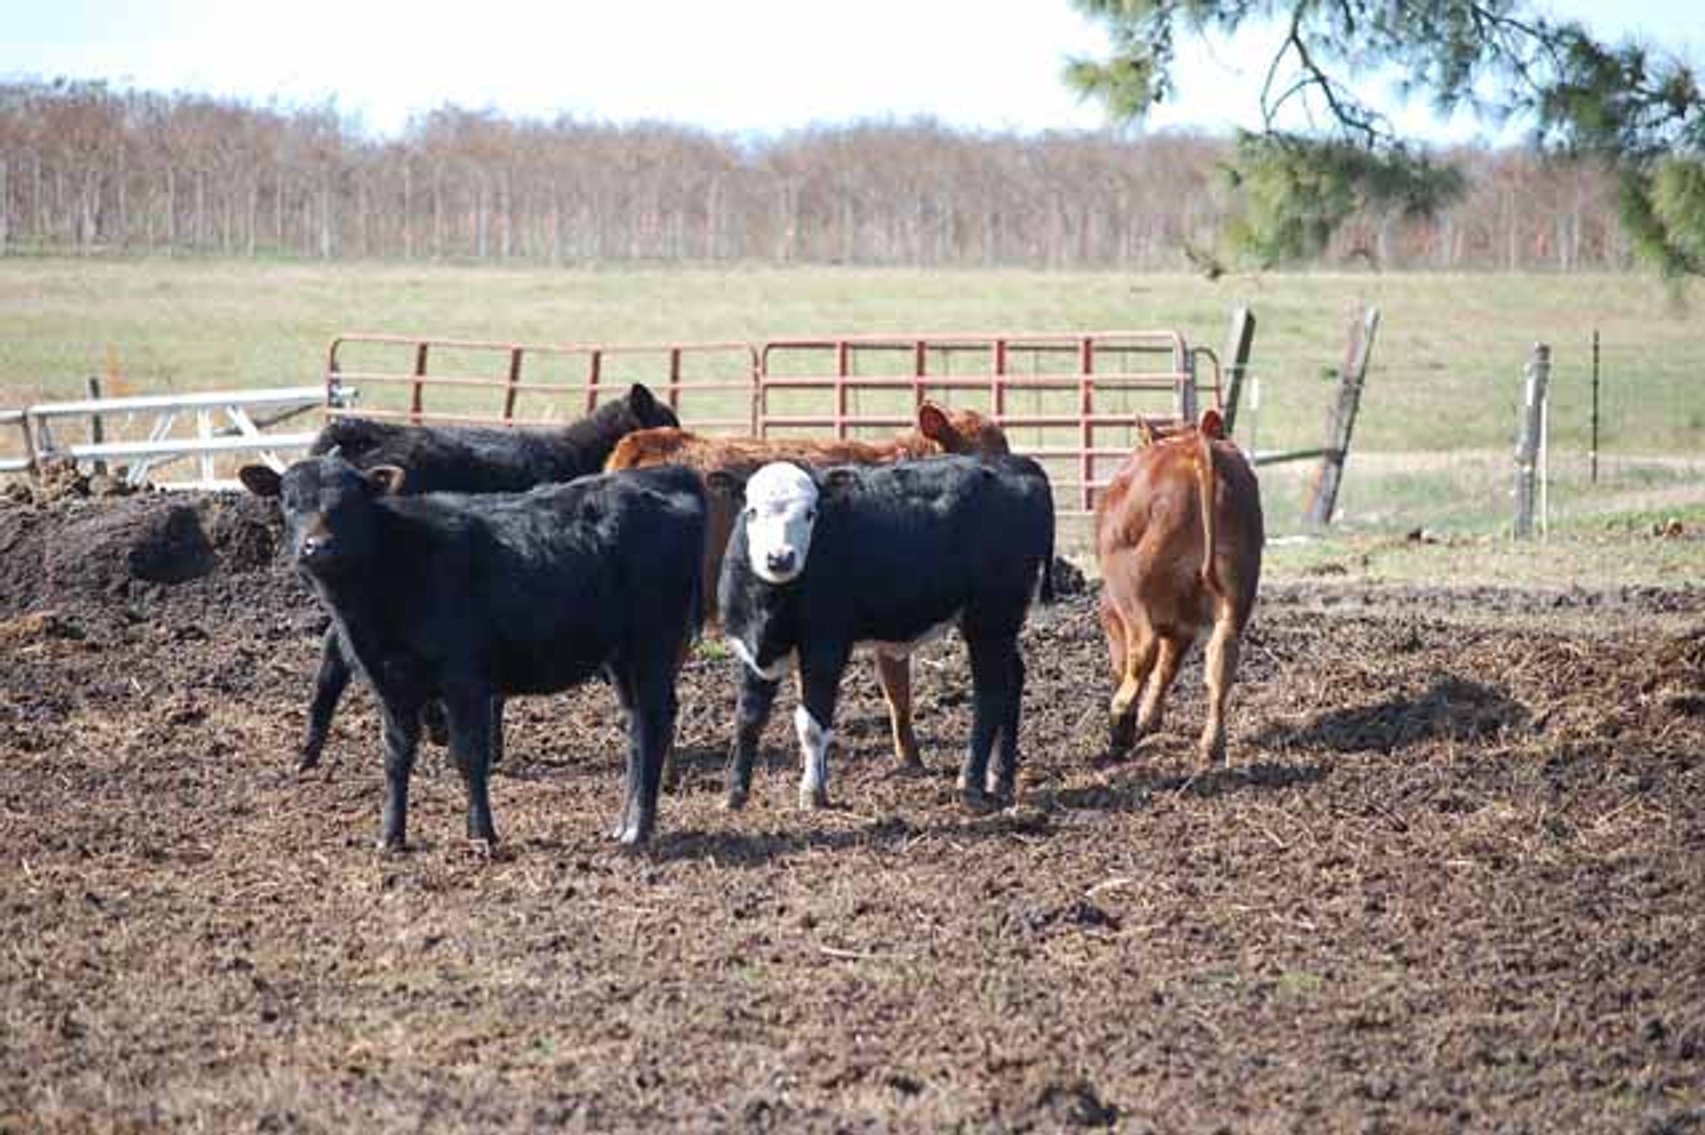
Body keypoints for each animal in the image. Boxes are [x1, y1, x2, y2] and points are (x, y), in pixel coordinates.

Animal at [239, 455, 706, 849]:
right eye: (289, 503)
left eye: (350, 503)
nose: (318, 545)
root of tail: (663, 475)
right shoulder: (389, 684)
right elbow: (395, 756)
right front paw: (391, 837)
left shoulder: (464, 681)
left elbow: (469, 756)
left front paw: (481, 833)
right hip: (621, 658)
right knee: (635, 728)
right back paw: (622, 824)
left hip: (652, 647)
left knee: (654, 723)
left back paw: (639, 830)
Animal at [715, 455, 1055, 813]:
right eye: (751, 511)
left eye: (810, 513)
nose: (780, 558)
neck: (770, 606)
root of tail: (1017, 463)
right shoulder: (750, 650)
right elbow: (748, 719)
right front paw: (735, 793)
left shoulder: (825, 648)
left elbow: (811, 725)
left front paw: (813, 793)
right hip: (999, 622)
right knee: (1012, 677)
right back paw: (1001, 778)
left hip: (990, 617)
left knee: (989, 692)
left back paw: (971, 783)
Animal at [1094, 409, 1264, 765]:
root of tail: (1198, 448)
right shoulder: (1182, 624)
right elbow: (1167, 669)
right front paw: (1148, 720)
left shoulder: (1114, 612)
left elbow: (1128, 662)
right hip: (1237, 592)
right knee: (1222, 656)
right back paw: (1212, 744)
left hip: (1129, 587)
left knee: (1144, 649)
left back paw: (1120, 722)